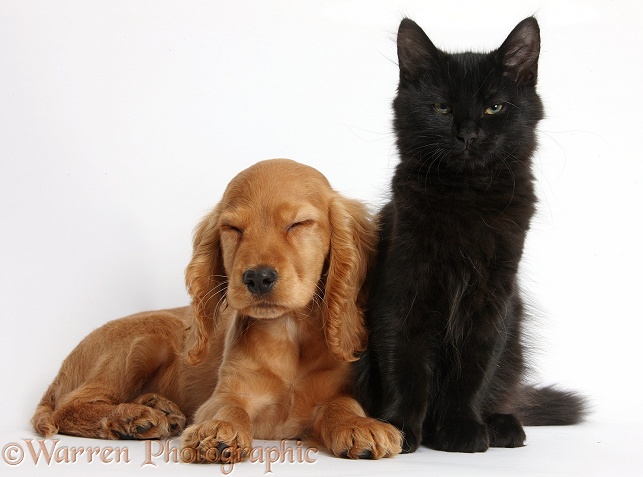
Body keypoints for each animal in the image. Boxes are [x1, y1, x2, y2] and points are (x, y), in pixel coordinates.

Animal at [34, 159, 402, 462]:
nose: (257, 277)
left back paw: (157, 408)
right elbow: (228, 407)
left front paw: (359, 425)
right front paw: (218, 431)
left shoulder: (335, 388)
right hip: (144, 340)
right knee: (70, 406)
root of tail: (61, 370)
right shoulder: (230, 390)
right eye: (233, 229)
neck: (288, 334)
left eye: (298, 224)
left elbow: (342, 405)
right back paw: (131, 417)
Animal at [354, 17, 588, 454]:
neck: (466, 196)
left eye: (494, 107)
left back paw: (502, 426)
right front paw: (399, 428)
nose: (467, 135)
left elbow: (474, 370)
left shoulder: (492, 299)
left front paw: (462, 428)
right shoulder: (403, 287)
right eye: (441, 107)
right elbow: (403, 362)